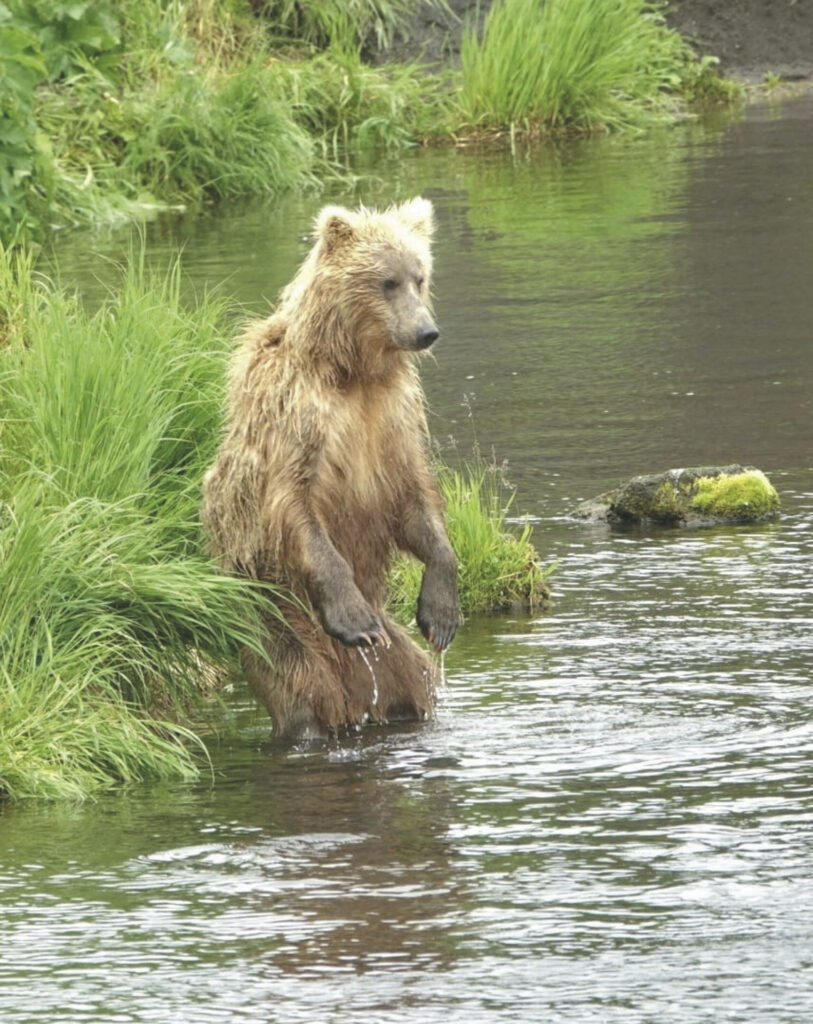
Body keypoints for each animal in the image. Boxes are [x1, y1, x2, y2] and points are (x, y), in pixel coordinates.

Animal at [200, 195, 458, 737]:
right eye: (387, 281)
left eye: (420, 276)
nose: (425, 331)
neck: (354, 372)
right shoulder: (296, 414)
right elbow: (293, 505)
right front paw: (355, 618)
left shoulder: (392, 419)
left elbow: (414, 500)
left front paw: (441, 611)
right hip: (280, 626)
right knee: (299, 692)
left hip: (394, 659)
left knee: (415, 682)